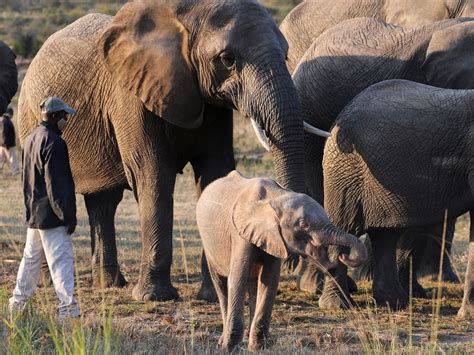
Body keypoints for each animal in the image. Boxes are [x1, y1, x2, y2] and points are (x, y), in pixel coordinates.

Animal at [15, 0, 326, 304]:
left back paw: (111, 283)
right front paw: (154, 297)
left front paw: (213, 294)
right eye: (227, 59)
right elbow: (153, 174)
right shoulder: (132, 95)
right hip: (28, 118)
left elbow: (214, 172)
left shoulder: (211, 104)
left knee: (104, 202)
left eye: (286, 56)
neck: (189, 13)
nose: (291, 261)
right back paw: (50, 282)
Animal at [196, 171, 366, 352]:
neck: (276, 197)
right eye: (303, 224)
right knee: (222, 284)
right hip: (208, 243)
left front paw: (259, 347)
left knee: (253, 284)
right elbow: (237, 278)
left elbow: (269, 281)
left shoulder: (275, 238)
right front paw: (229, 348)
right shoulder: (240, 235)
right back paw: (223, 341)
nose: (341, 257)